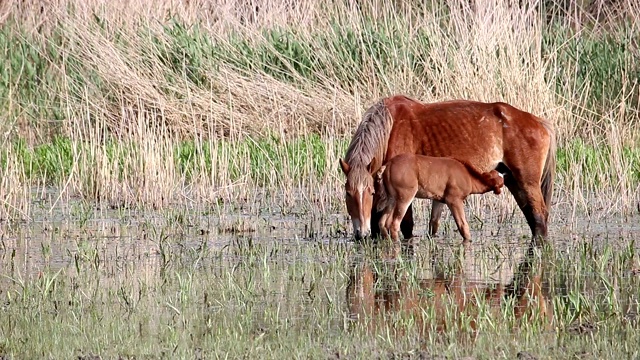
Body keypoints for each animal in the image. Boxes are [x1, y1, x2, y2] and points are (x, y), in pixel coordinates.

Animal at [376, 153, 504, 243]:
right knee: (394, 224)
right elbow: (463, 225)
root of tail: (388, 164)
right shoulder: (453, 200)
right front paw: (469, 240)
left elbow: (434, 222)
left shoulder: (438, 200)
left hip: (392, 198)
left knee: (383, 222)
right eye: (502, 182)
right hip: (405, 196)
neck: (468, 175)